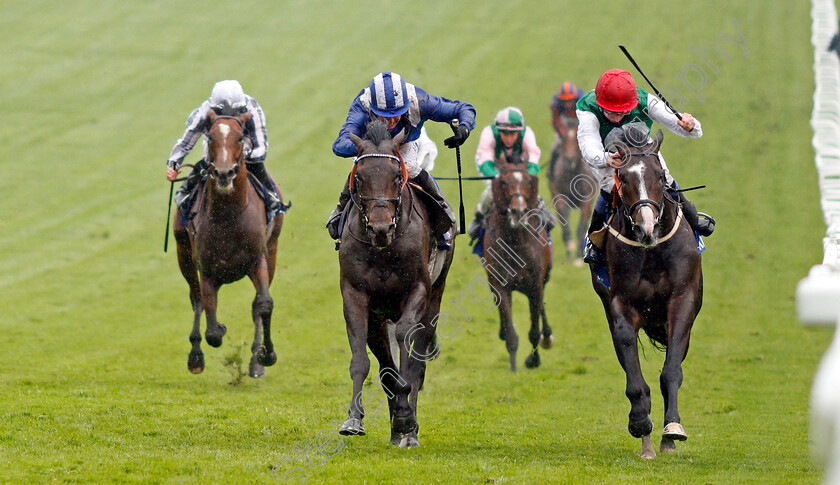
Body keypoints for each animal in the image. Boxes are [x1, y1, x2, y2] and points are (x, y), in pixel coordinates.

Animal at [173, 109, 282, 378]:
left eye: (241, 138)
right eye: (210, 137)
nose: (224, 173)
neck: (229, 216)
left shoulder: (257, 260)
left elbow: (264, 304)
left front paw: (266, 355)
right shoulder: (207, 269)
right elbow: (212, 329)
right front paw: (217, 330)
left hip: (273, 249)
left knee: (255, 304)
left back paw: (255, 361)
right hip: (183, 253)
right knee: (196, 299)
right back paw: (195, 356)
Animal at [336, 119, 456, 448]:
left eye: (396, 176)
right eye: (360, 177)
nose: (380, 227)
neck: (383, 248)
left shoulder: (417, 290)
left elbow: (407, 351)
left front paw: (405, 419)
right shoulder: (356, 295)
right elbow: (363, 361)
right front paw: (354, 419)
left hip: (435, 297)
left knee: (417, 362)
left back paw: (409, 430)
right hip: (379, 317)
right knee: (385, 365)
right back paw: (396, 429)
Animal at [486, 161, 552, 372]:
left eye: (528, 181)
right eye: (504, 182)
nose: (519, 212)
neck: (515, 244)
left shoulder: (535, 285)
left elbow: (534, 330)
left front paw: (533, 360)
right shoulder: (500, 285)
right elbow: (510, 331)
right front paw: (514, 368)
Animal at [548, 114, 592, 266]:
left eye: (577, 139)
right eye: (564, 139)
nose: (569, 159)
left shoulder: (587, 200)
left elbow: (581, 227)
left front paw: (578, 258)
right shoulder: (560, 196)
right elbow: (565, 224)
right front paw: (569, 251)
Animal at [592, 129, 704, 458]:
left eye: (659, 175)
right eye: (623, 177)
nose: (647, 228)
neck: (651, 252)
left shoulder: (682, 301)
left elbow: (671, 371)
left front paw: (672, 430)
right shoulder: (620, 303)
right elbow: (632, 369)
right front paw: (640, 422)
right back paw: (646, 443)